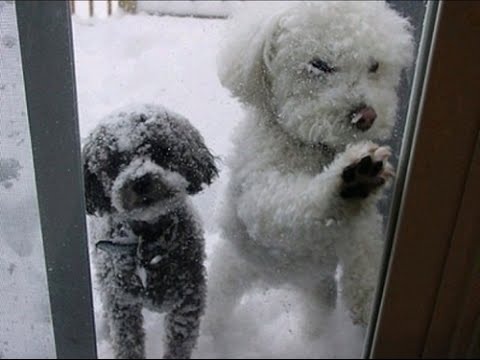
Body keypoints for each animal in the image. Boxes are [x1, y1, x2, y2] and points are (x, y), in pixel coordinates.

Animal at [205, 0, 412, 344]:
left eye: (374, 66)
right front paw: (346, 185)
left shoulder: (364, 223)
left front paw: (366, 295)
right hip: (228, 275)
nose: (366, 116)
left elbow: (365, 242)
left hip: (318, 292)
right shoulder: (258, 191)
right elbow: (292, 205)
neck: (312, 148)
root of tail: (276, 281)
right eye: (319, 65)